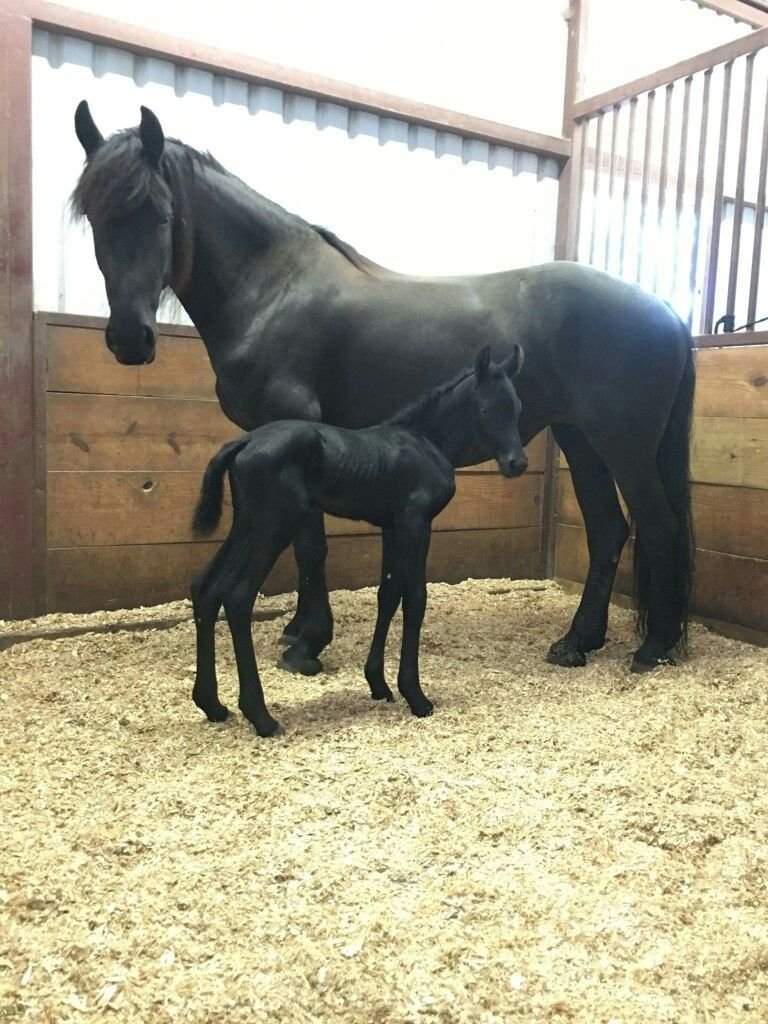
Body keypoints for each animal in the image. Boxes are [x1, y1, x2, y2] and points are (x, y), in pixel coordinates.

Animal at [72, 101, 695, 675]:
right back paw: (577, 641)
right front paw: (298, 629)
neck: (272, 288)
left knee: (659, 526)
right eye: (94, 216)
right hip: (580, 440)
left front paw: (308, 642)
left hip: (623, 446)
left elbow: (310, 541)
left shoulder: (294, 425)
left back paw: (654, 648)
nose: (130, 339)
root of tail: (667, 311)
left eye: (158, 215)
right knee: (609, 530)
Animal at [189, 344, 526, 737]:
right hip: (274, 525)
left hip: (247, 523)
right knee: (238, 594)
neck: (426, 440)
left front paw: (378, 684)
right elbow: (415, 599)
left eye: (517, 407)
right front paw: (416, 696)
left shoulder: (392, 527)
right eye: (487, 409)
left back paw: (212, 704)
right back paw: (261, 716)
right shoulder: (416, 523)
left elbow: (389, 595)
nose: (517, 463)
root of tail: (244, 441)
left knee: (207, 586)